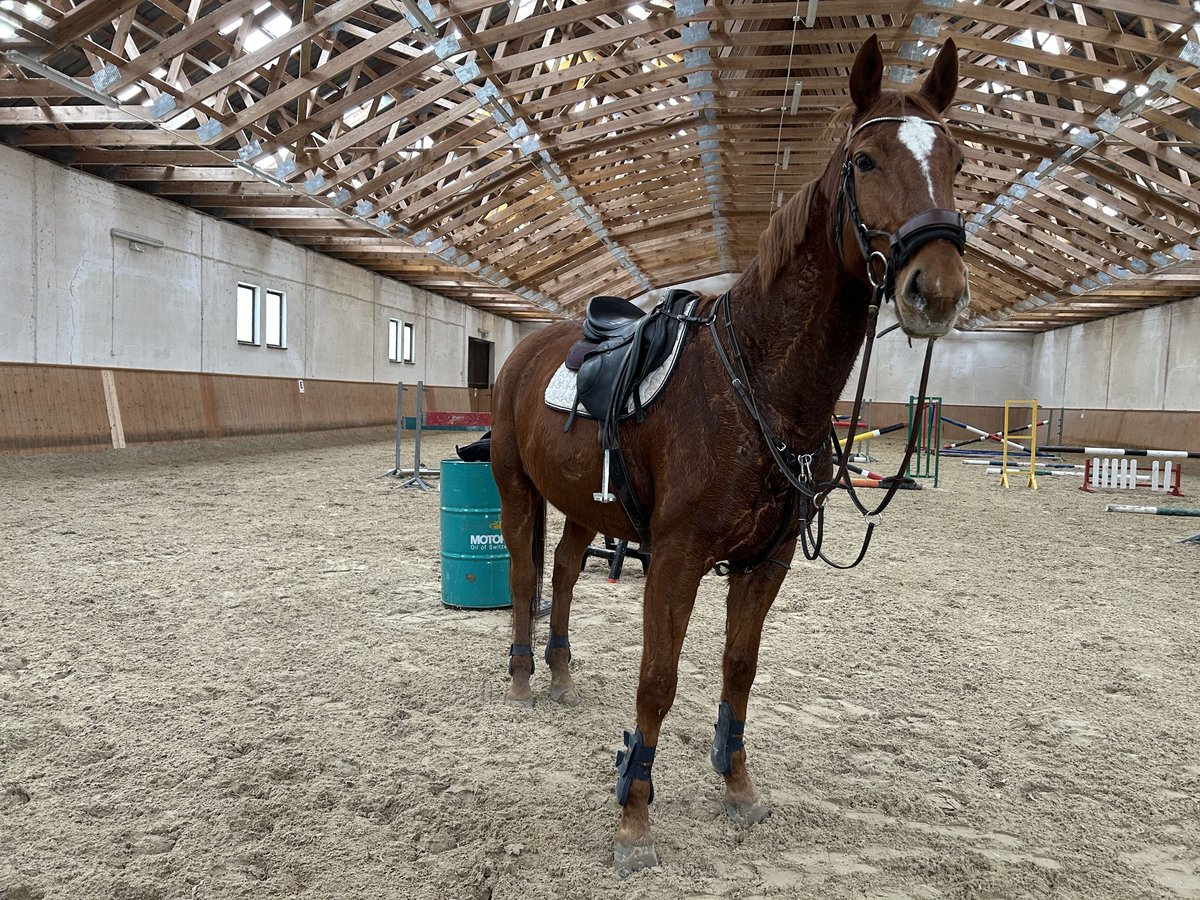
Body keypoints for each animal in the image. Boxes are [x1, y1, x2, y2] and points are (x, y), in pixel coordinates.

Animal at [487, 35, 964, 873]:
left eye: (958, 159)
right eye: (865, 160)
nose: (934, 289)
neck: (759, 386)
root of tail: (529, 348)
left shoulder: (765, 562)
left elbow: (739, 670)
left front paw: (736, 784)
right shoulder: (676, 559)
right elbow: (657, 680)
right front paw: (633, 817)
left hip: (583, 505)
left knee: (568, 572)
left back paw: (563, 671)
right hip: (518, 489)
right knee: (523, 571)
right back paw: (522, 678)